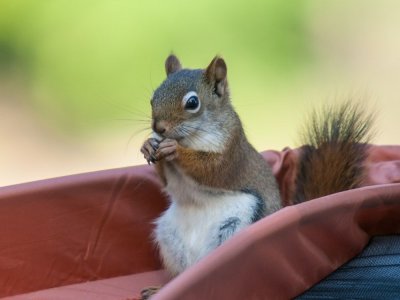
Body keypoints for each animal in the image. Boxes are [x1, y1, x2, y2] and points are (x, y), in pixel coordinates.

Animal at [139, 54, 374, 298]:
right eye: (152, 98)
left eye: (192, 103)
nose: (159, 127)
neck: (191, 137)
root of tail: (199, 263)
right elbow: (166, 181)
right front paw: (148, 145)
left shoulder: (231, 152)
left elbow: (210, 170)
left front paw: (174, 149)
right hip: (170, 237)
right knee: (183, 273)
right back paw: (161, 289)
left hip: (236, 226)